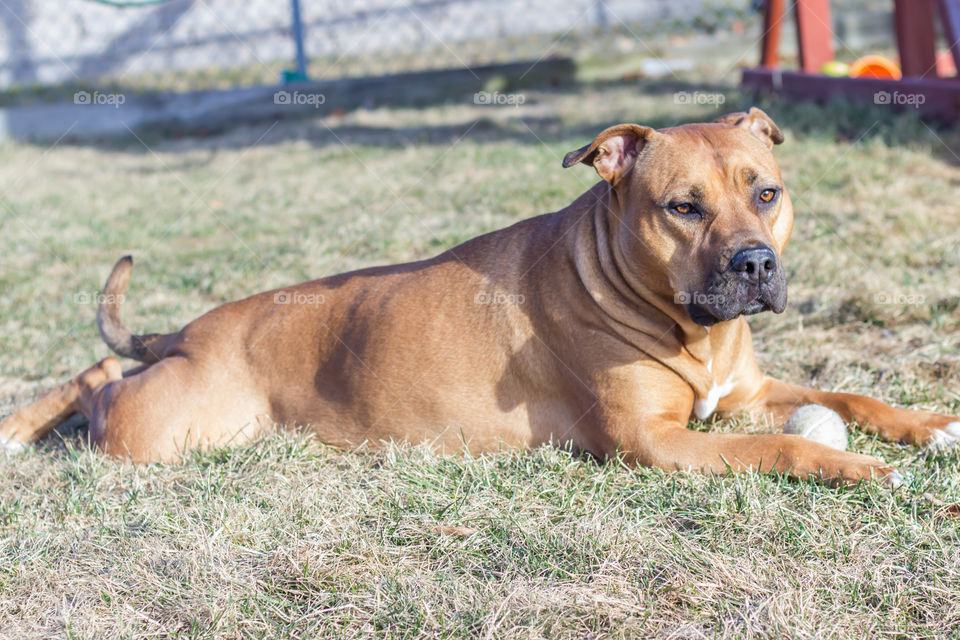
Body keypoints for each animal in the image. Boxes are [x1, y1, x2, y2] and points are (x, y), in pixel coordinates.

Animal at [1, 109, 960, 484]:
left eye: (767, 192)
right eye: (682, 207)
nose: (756, 264)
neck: (690, 327)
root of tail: (193, 332)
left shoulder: (745, 393)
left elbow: (850, 394)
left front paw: (928, 424)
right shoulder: (653, 443)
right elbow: (783, 445)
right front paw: (857, 467)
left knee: (102, 367)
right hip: (161, 430)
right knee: (98, 388)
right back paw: (20, 427)